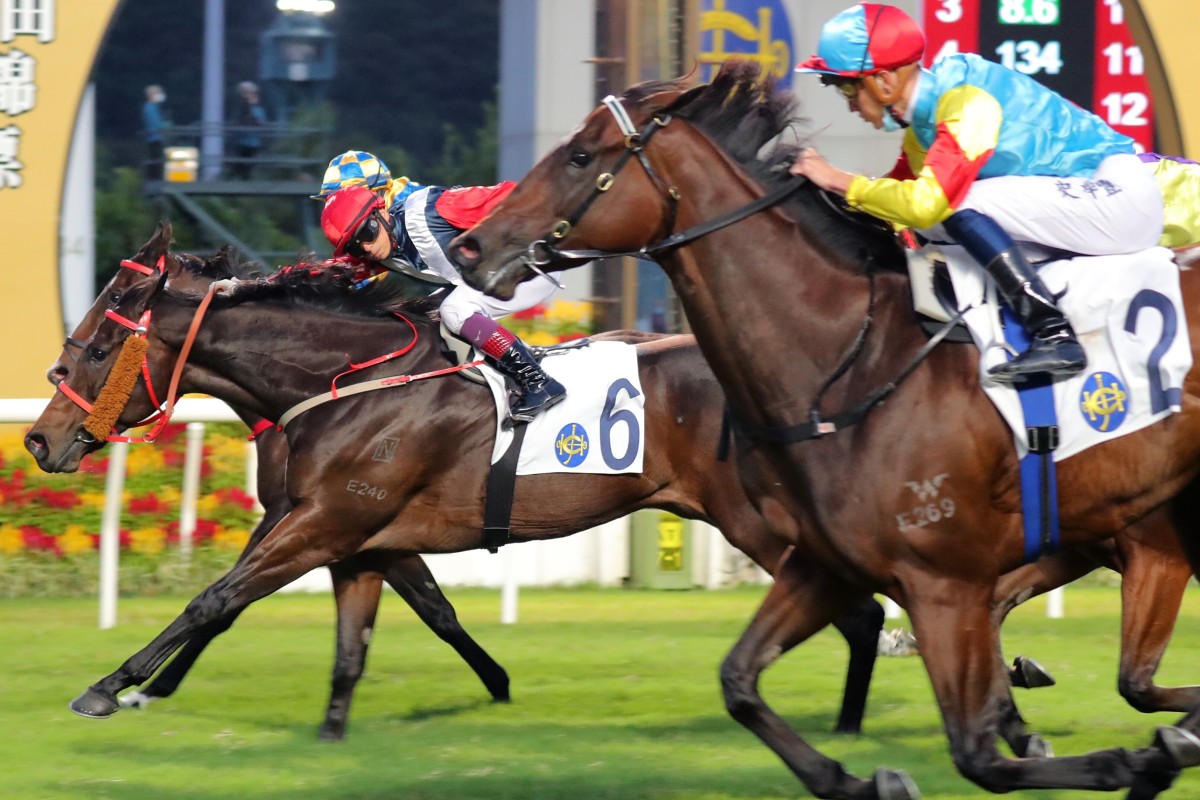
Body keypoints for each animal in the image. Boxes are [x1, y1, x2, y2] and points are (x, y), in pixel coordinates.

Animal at [25, 227, 892, 743]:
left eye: (99, 342)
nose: (39, 439)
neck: (342, 384)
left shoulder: (321, 523)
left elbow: (215, 599)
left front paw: (112, 687)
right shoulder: (358, 538)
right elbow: (370, 637)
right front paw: (342, 730)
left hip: (760, 523)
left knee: (861, 612)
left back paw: (848, 730)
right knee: (860, 614)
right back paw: (848, 728)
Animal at [448, 59, 1200, 796]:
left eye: (580, 156)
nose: (469, 247)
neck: (849, 362)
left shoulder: (945, 581)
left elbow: (978, 752)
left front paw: (1136, 759)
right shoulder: (825, 565)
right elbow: (739, 680)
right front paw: (856, 780)